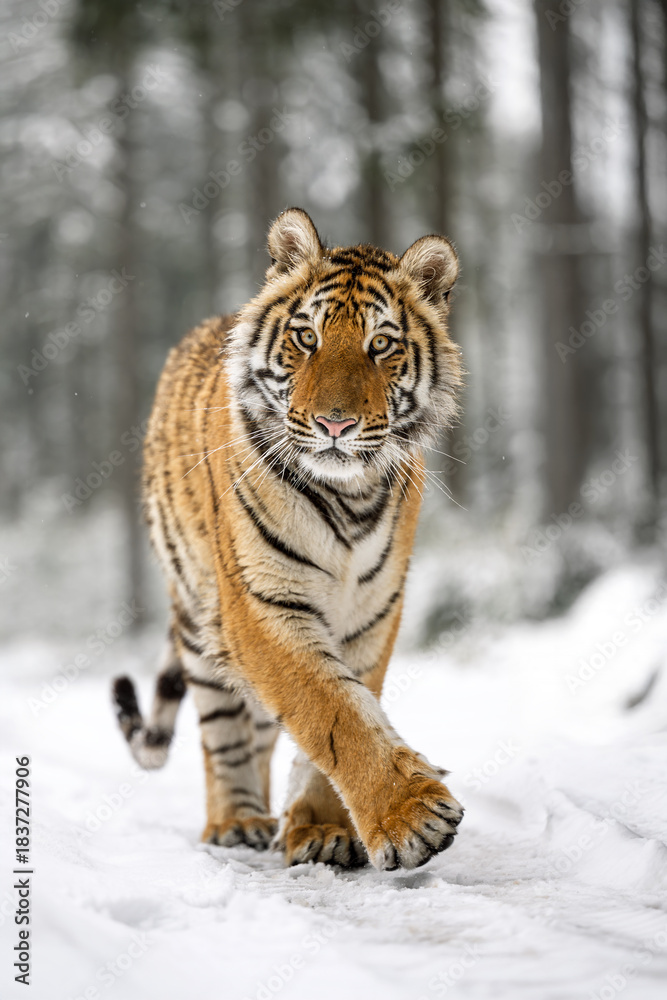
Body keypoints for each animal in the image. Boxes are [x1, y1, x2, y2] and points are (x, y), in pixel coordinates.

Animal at [112, 207, 464, 870]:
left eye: (381, 344)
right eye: (307, 338)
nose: (335, 424)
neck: (350, 499)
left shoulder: (372, 613)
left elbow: (347, 706)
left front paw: (321, 828)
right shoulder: (261, 605)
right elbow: (330, 709)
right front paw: (413, 819)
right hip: (199, 620)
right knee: (223, 733)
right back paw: (236, 821)